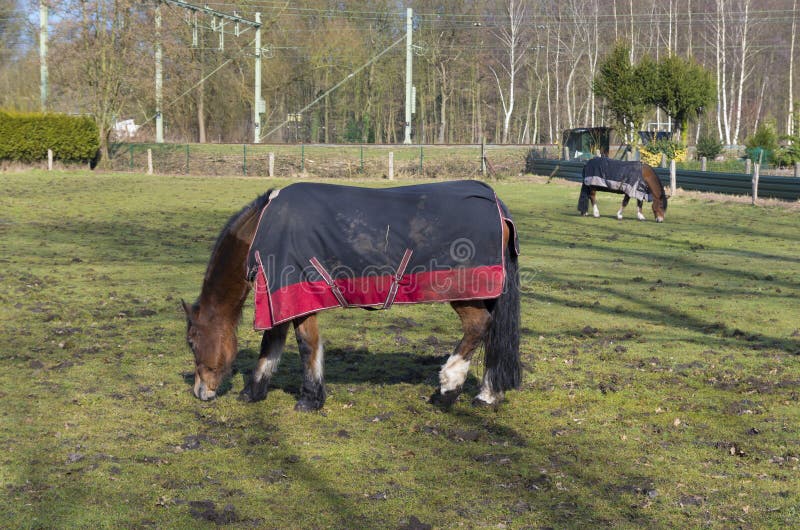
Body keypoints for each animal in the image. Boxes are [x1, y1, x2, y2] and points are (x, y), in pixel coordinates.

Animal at [182, 181, 521, 412]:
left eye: (192, 342)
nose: (200, 391)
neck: (263, 231)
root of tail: (495, 203)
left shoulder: (295, 294)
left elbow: (306, 345)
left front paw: (309, 399)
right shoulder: (281, 298)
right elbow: (273, 344)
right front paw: (253, 392)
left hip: (465, 294)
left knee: (479, 327)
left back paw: (449, 387)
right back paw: (487, 394)